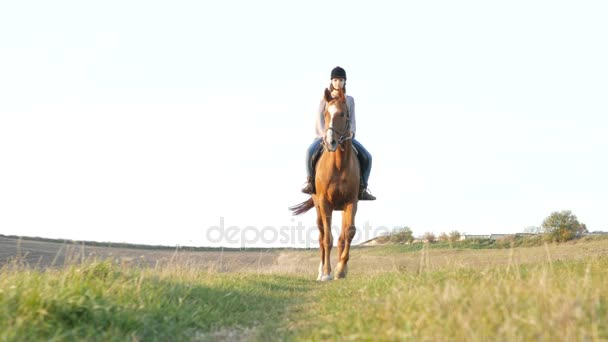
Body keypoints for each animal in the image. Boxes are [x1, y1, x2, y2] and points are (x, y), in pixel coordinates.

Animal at [288, 87, 358, 280]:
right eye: (325, 113)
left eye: (343, 114)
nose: (330, 141)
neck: (339, 164)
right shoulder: (325, 203)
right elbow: (327, 239)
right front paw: (327, 273)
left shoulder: (352, 202)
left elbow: (349, 233)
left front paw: (341, 269)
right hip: (318, 207)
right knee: (321, 237)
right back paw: (320, 272)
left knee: (342, 237)